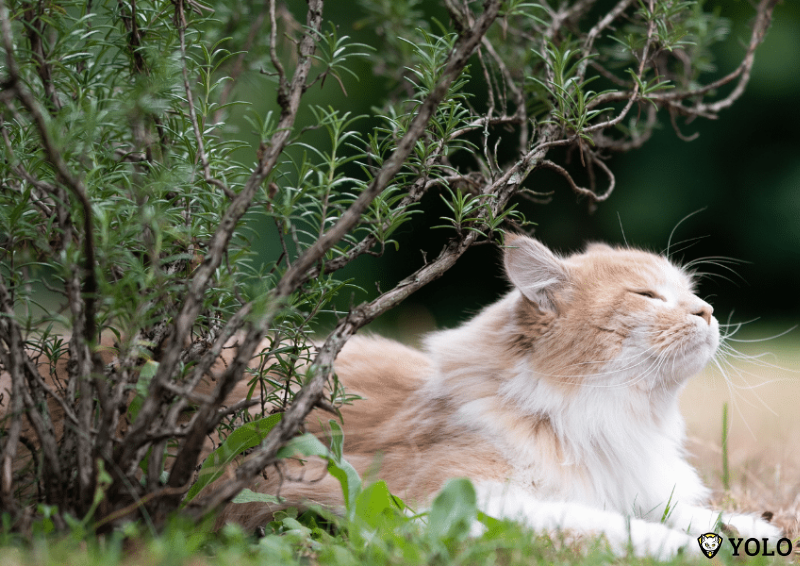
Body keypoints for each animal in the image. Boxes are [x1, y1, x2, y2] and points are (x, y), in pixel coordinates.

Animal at [222, 235, 784, 560]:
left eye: (691, 294)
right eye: (647, 296)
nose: (708, 311)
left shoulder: (633, 485)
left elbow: (693, 516)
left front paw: (750, 529)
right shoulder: (458, 502)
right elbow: (608, 525)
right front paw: (676, 547)